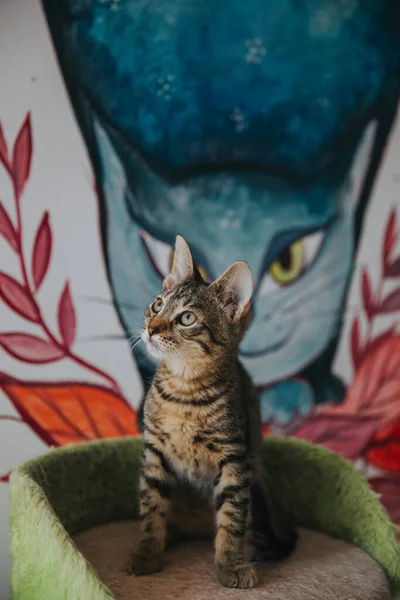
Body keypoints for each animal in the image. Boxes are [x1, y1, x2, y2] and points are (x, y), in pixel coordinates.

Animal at [128, 237, 296, 588]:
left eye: (186, 319)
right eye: (158, 304)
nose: (150, 329)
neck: (184, 391)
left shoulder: (235, 459)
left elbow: (232, 516)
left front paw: (229, 564)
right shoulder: (155, 451)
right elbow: (151, 506)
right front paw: (148, 551)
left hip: (257, 485)